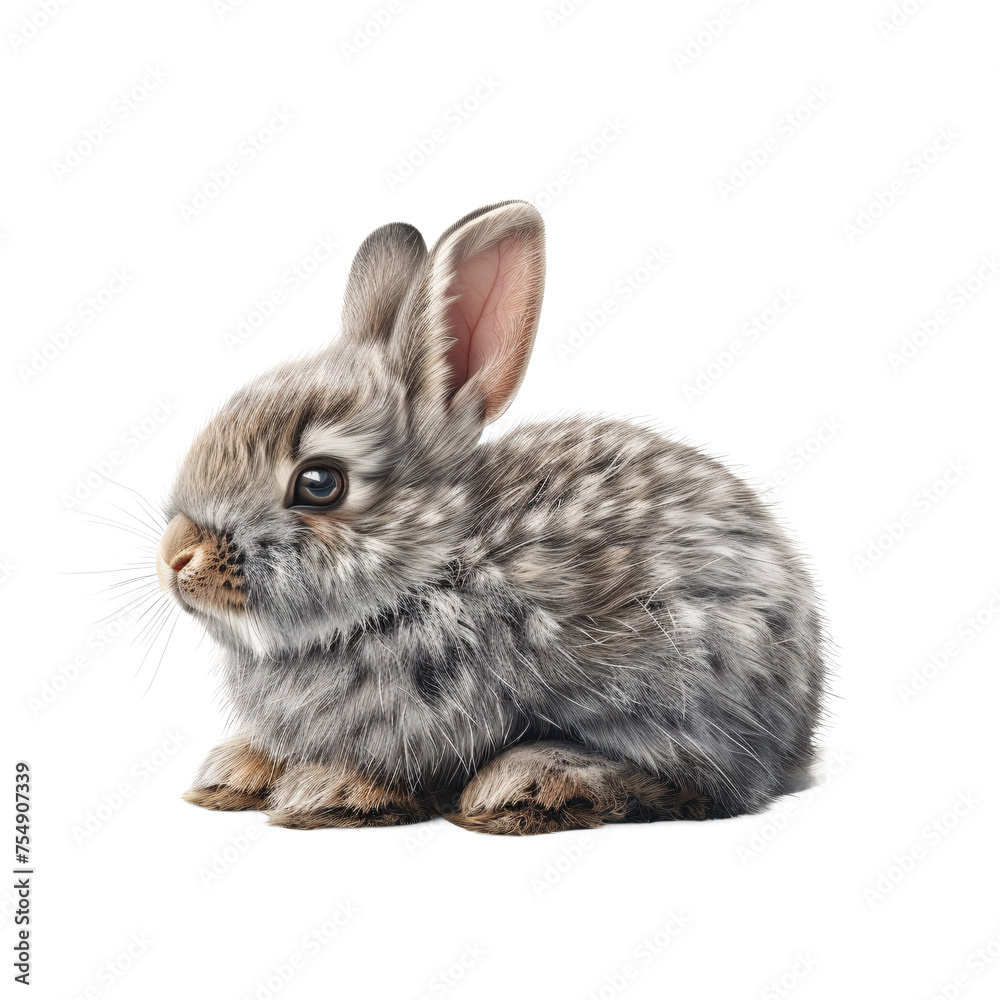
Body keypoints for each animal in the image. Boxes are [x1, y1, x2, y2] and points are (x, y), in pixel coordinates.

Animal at [159, 200, 826, 835]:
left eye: (319, 483)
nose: (176, 557)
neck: (432, 570)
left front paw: (331, 790)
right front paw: (239, 771)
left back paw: (524, 785)